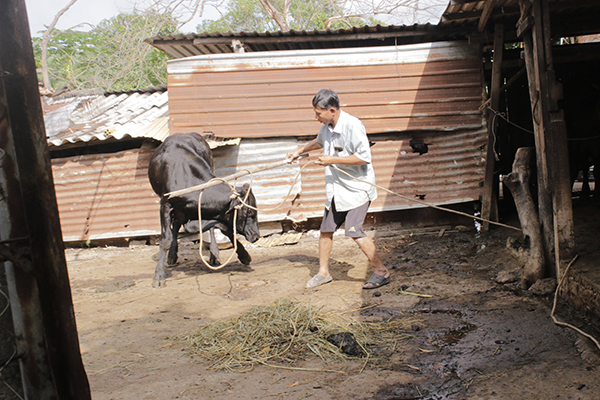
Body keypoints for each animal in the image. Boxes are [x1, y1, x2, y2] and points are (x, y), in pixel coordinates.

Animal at [148, 133, 260, 286]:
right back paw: (172, 255)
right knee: (176, 227)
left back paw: (213, 254)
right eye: (249, 212)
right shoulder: (165, 206)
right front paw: (159, 274)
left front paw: (244, 255)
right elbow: (166, 240)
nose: (257, 236)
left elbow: (227, 230)